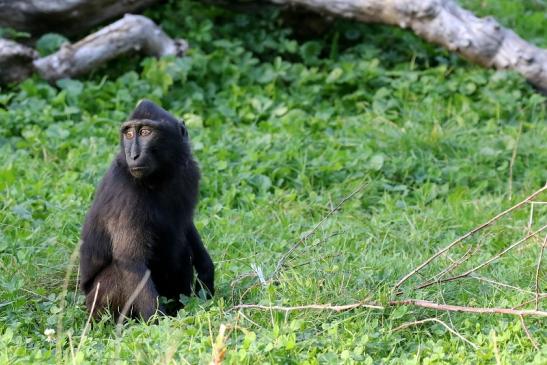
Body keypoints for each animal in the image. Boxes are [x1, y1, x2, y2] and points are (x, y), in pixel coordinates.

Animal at [78, 99, 214, 318]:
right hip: (96, 303)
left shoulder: (188, 173)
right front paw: (158, 322)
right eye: (128, 134)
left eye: (145, 132)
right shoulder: (126, 194)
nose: (133, 155)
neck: (160, 176)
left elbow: (186, 225)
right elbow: (131, 260)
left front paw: (207, 269)